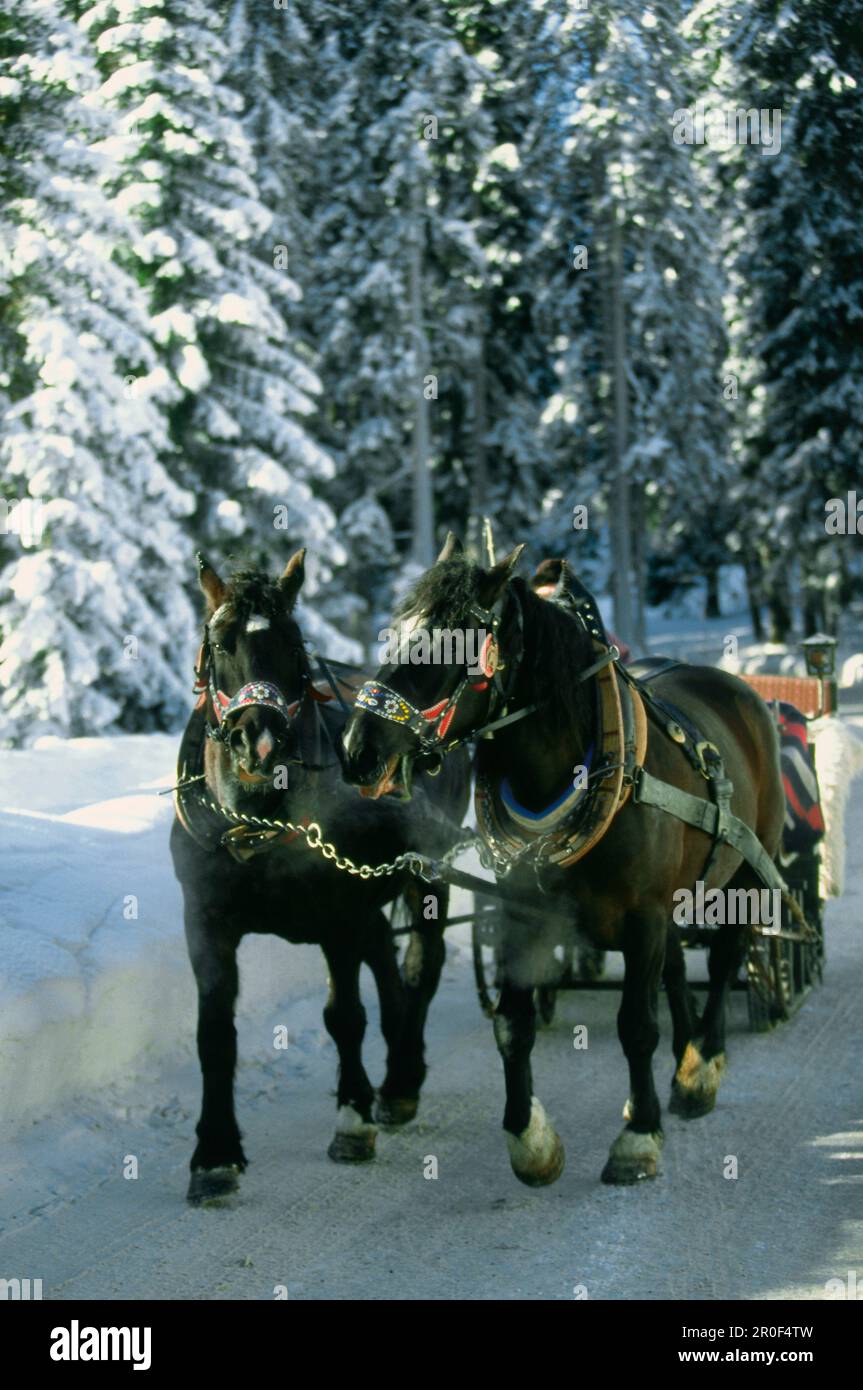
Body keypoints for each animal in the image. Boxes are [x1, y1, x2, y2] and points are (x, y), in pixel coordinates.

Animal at [170, 549, 470, 1203]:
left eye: (293, 643)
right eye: (221, 643)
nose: (259, 742)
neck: (257, 822)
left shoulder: (338, 917)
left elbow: (344, 1017)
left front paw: (352, 1119)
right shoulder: (205, 921)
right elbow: (213, 1033)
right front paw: (214, 1152)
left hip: (428, 868)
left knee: (422, 963)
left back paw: (402, 1078)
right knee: (386, 954)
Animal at [340, 534, 785, 1188]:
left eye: (452, 642)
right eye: (395, 634)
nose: (357, 751)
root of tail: (737, 688)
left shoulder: (644, 916)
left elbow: (635, 1025)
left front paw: (637, 1136)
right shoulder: (523, 911)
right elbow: (512, 1023)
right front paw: (530, 1139)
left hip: (748, 871)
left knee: (727, 954)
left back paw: (700, 1069)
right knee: (680, 969)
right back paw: (683, 1060)